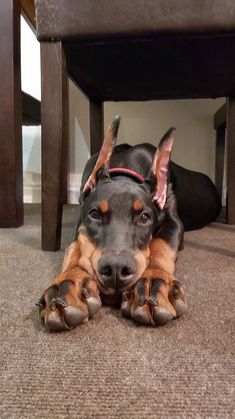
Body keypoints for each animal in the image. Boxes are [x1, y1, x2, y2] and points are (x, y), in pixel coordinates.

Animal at [36, 117, 220, 332]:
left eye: (144, 217)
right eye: (95, 214)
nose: (116, 270)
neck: (125, 167)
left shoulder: (173, 221)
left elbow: (161, 243)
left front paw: (154, 280)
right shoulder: (80, 222)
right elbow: (75, 247)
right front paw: (69, 281)